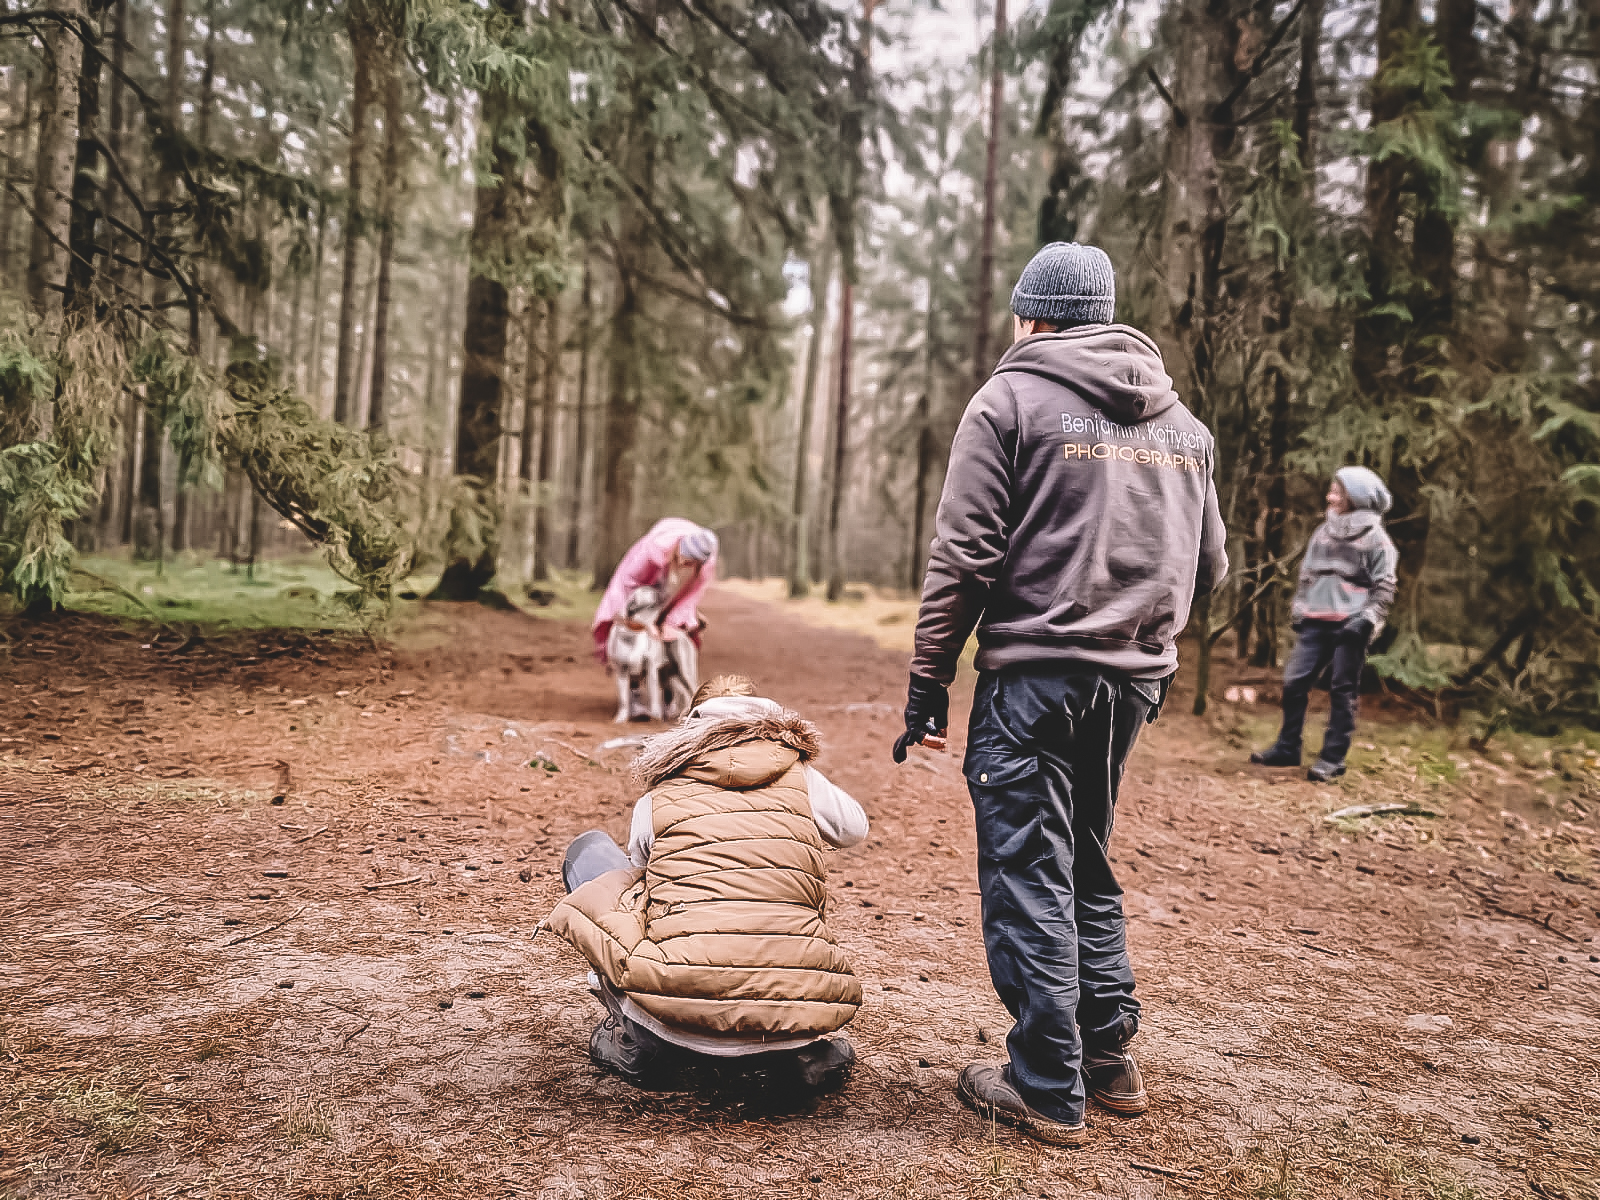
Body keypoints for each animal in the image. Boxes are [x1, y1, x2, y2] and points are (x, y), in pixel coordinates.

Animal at [601, 585, 697, 720]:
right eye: (653, 598)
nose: (665, 592)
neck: (636, 628)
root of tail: (684, 634)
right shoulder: (622, 671)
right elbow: (624, 699)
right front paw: (621, 718)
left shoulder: (651, 669)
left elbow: (653, 695)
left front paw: (655, 717)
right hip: (671, 676)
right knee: (681, 693)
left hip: (685, 672)